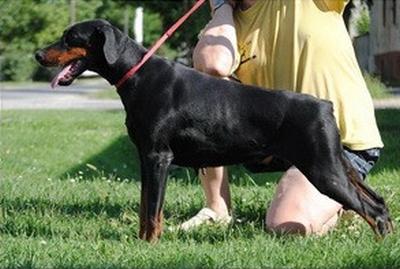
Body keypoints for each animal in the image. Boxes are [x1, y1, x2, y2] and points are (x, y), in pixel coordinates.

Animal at [36, 18, 392, 241]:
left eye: (71, 38)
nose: (38, 54)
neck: (137, 76)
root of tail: (325, 106)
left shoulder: (158, 157)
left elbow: (153, 211)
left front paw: (148, 244)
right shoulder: (145, 160)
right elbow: (144, 207)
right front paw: (140, 242)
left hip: (323, 171)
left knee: (370, 210)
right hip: (340, 167)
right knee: (378, 204)